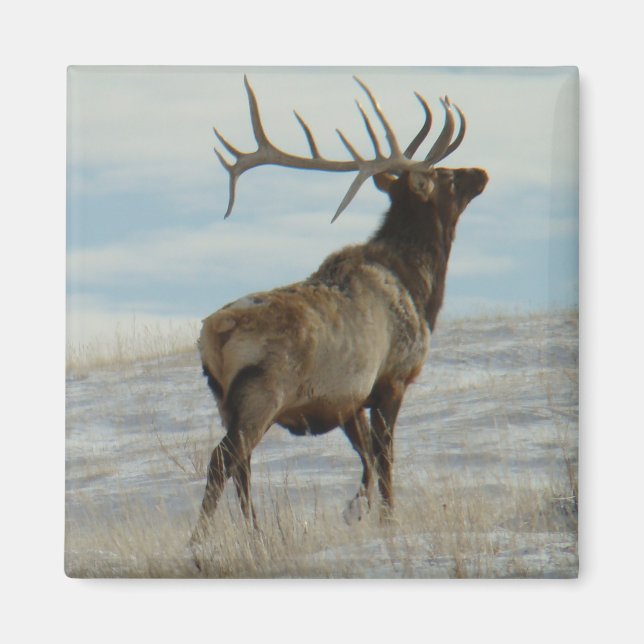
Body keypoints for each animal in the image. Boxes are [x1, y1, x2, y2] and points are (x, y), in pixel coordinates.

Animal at [191, 75, 488, 545]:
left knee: (242, 465)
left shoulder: (347, 398)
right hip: (262, 392)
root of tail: (214, 334)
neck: (420, 288)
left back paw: (255, 532)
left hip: (224, 399)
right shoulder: (392, 377)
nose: (480, 172)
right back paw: (199, 539)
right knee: (225, 459)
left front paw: (357, 509)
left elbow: (365, 456)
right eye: (443, 175)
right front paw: (385, 518)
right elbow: (384, 457)